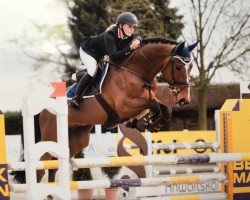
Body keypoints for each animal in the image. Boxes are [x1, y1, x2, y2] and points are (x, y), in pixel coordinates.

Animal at [12, 37, 198, 188]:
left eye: (191, 67)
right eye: (178, 66)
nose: (184, 100)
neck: (138, 72)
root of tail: (42, 107)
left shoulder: (144, 102)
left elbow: (164, 109)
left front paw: (148, 123)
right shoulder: (125, 107)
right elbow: (154, 106)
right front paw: (146, 123)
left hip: (76, 140)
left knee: (54, 167)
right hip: (51, 138)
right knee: (40, 168)